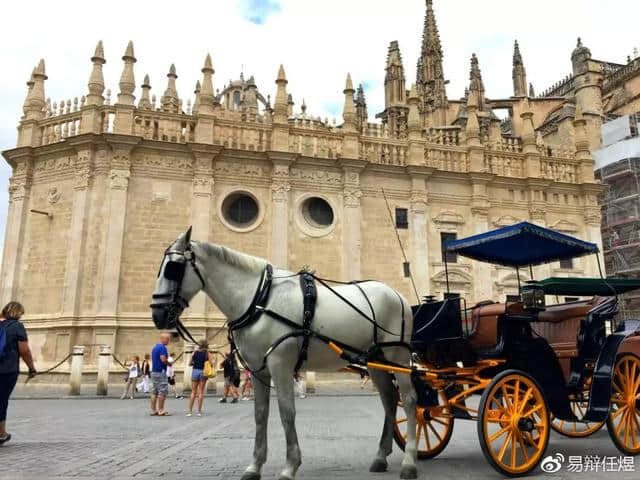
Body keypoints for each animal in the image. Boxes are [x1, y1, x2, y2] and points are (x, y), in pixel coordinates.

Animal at [151, 230, 420, 480]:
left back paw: (409, 462)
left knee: (409, 401)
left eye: (172, 269)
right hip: (376, 363)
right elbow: (261, 415)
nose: (157, 315)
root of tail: (398, 295)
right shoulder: (258, 370)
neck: (259, 299)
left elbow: (286, 412)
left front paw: (290, 466)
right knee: (389, 401)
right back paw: (381, 456)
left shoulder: (280, 365)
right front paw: (254, 466)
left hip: (398, 357)